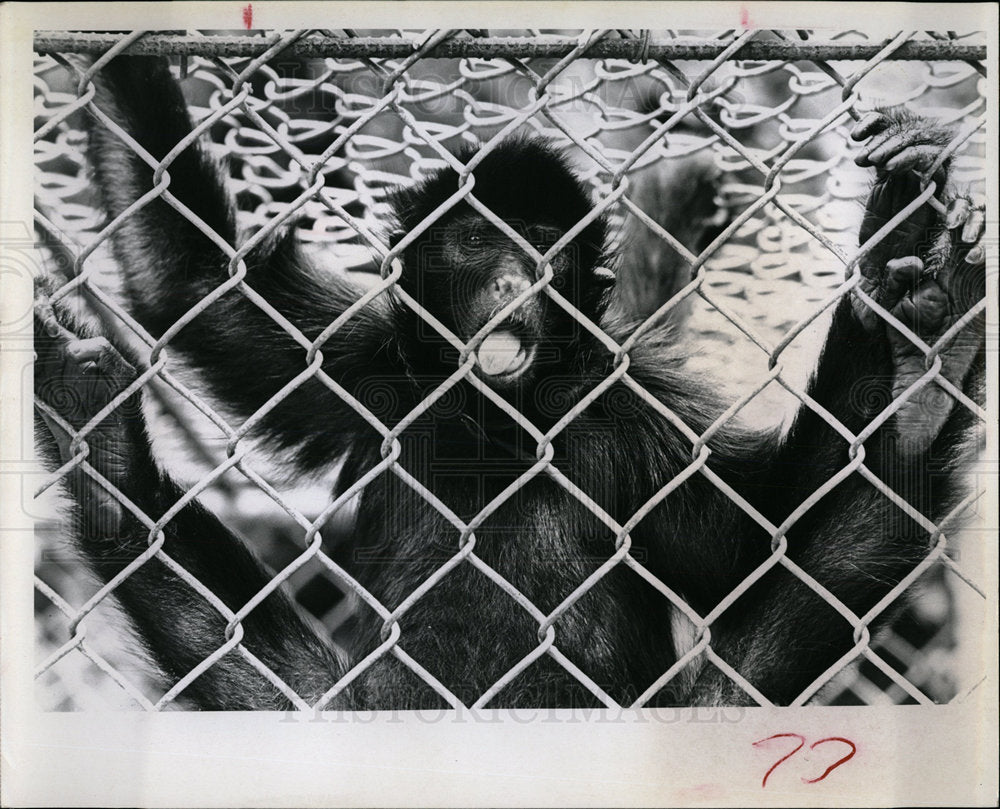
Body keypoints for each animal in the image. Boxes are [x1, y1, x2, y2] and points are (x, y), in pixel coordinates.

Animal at [33, 56, 984, 708]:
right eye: (474, 241)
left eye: (538, 242)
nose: (511, 281)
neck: (500, 418)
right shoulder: (371, 367)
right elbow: (193, 284)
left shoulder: (633, 411)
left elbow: (767, 534)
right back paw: (105, 453)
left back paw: (920, 376)